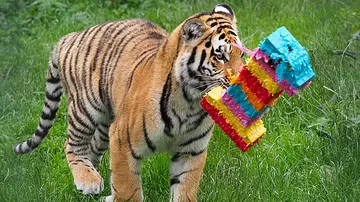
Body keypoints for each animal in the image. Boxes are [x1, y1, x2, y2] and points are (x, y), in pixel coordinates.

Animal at [13, 3, 245, 202]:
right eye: (220, 56)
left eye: (241, 54)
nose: (240, 80)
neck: (190, 103)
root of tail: (70, 36)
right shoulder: (122, 140)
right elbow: (127, 190)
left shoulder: (191, 151)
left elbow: (184, 190)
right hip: (85, 109)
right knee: (72, 145)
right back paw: (88, 181)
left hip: (106, 124)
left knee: (93, 149)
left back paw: (97, 184)